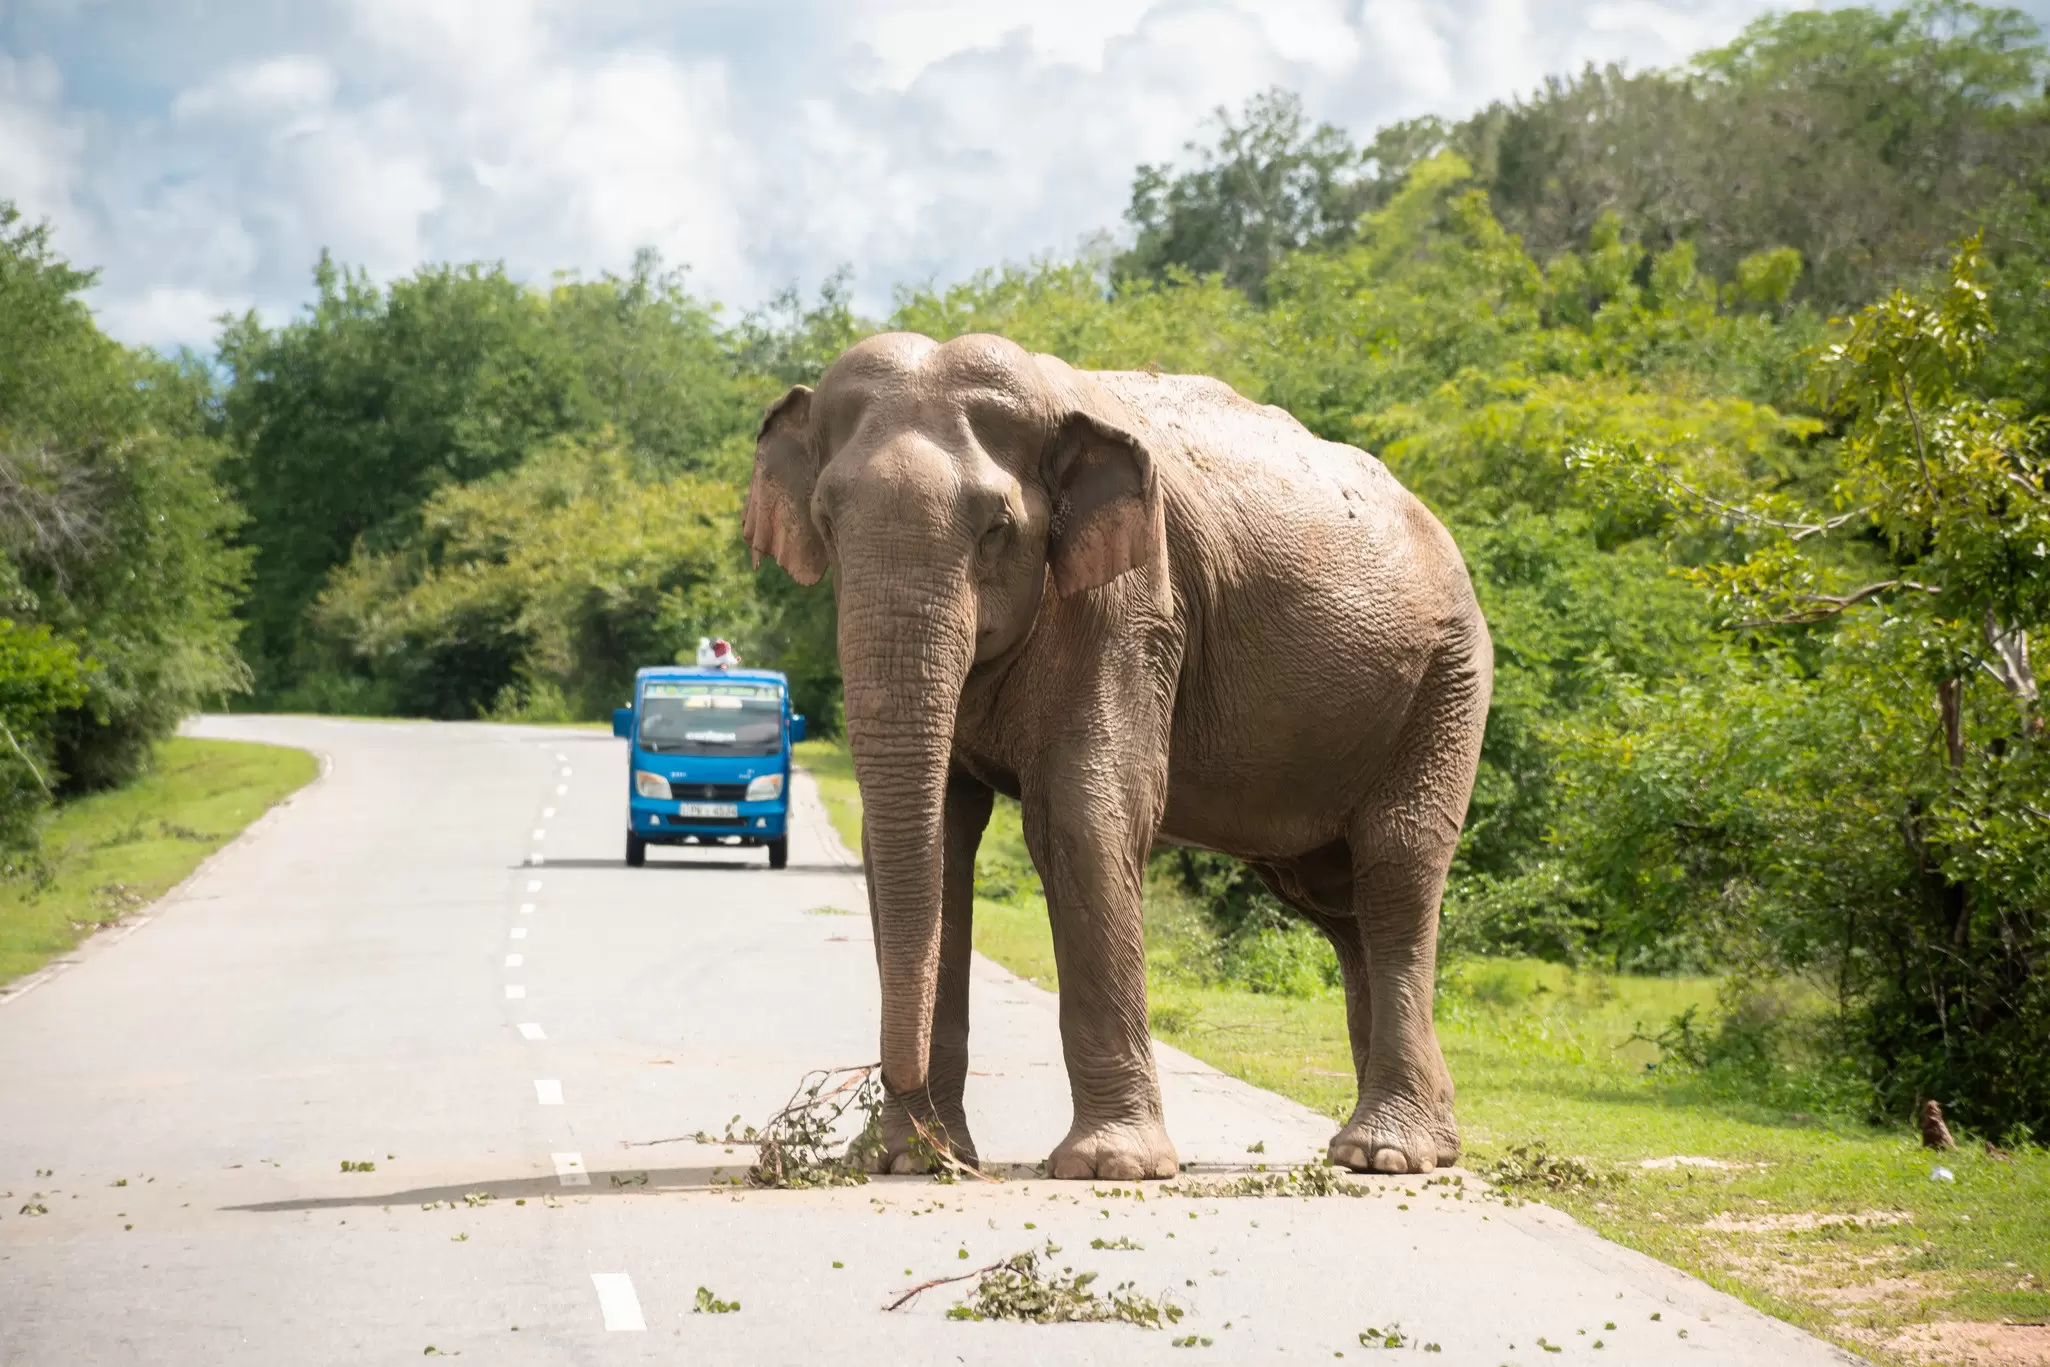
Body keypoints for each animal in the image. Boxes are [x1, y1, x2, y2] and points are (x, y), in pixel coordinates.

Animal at [743, 331, 1492, 1179]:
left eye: (995, 528)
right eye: (826, 522)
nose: (862, 1098)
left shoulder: (1130, 608)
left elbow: (1081, 816)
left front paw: (1111, 1166)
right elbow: (936, 837)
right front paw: (909, 1162)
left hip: (1447, 679)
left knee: (1395, 865)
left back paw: (1385, 1153)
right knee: (1337, 898)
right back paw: (1406, 1143)